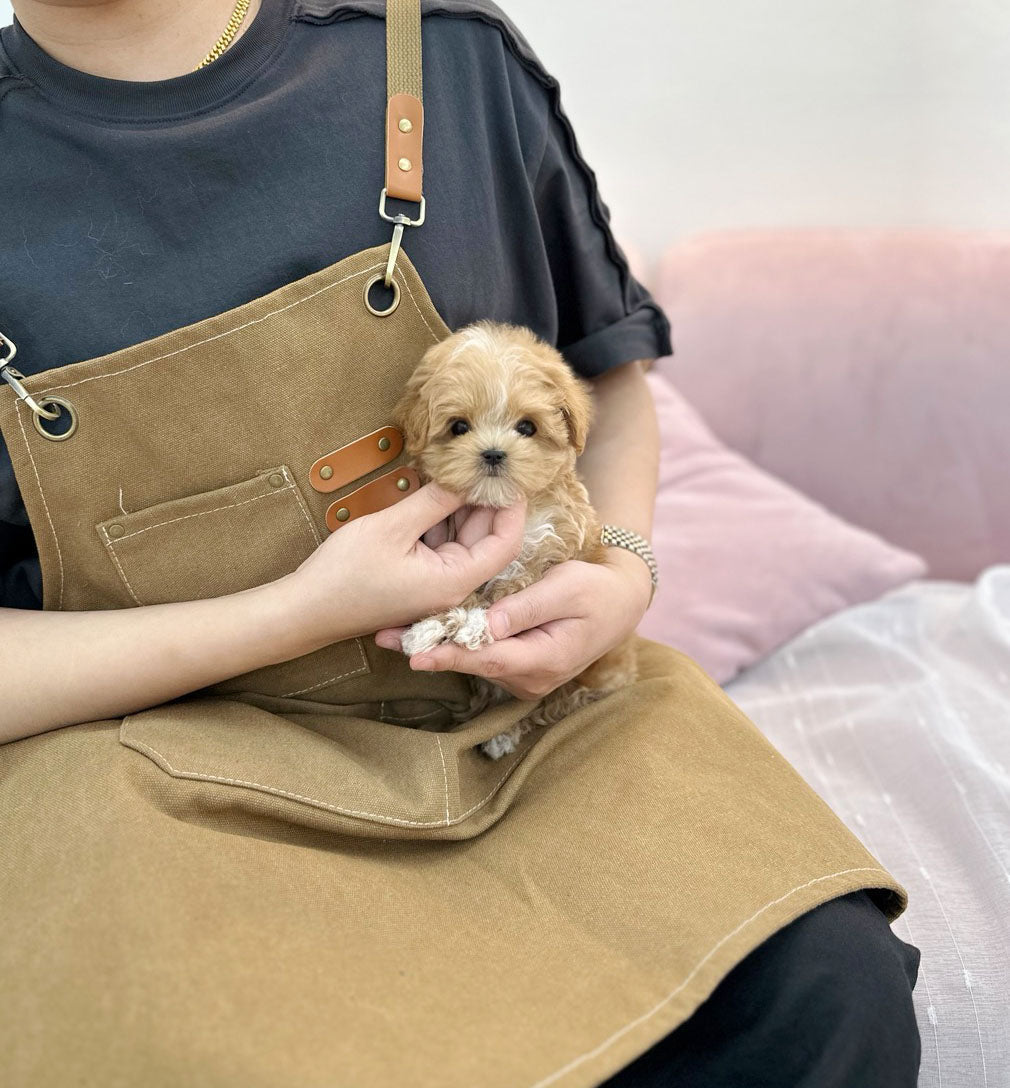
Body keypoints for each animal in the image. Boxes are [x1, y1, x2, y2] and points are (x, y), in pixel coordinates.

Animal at [389, 317, 635, 757]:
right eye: (459, 427)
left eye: (527, 427)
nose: (492, 453)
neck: (500, 505)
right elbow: (464, 591)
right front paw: (432, 627)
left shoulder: (555, 546)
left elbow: (513, 585)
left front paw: (473, 625)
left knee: (553, 704)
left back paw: (505, 733)